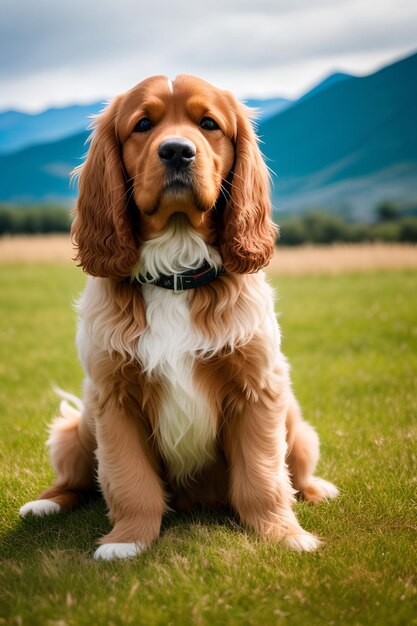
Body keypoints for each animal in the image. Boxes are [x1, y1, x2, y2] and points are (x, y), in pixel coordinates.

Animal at [19, 75, 338, 560]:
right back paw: (44, 504)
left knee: (295, 472)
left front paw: (282, 534)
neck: (176, 268)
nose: (175, 151)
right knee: (74, 481)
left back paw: (317, 489)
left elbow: (263, 477)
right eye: (142, 125)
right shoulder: (114, 398)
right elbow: (130, 480)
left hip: (298, 430)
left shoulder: (257, 390)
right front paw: (127, 540)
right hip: (74, 430)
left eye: (208, 124)